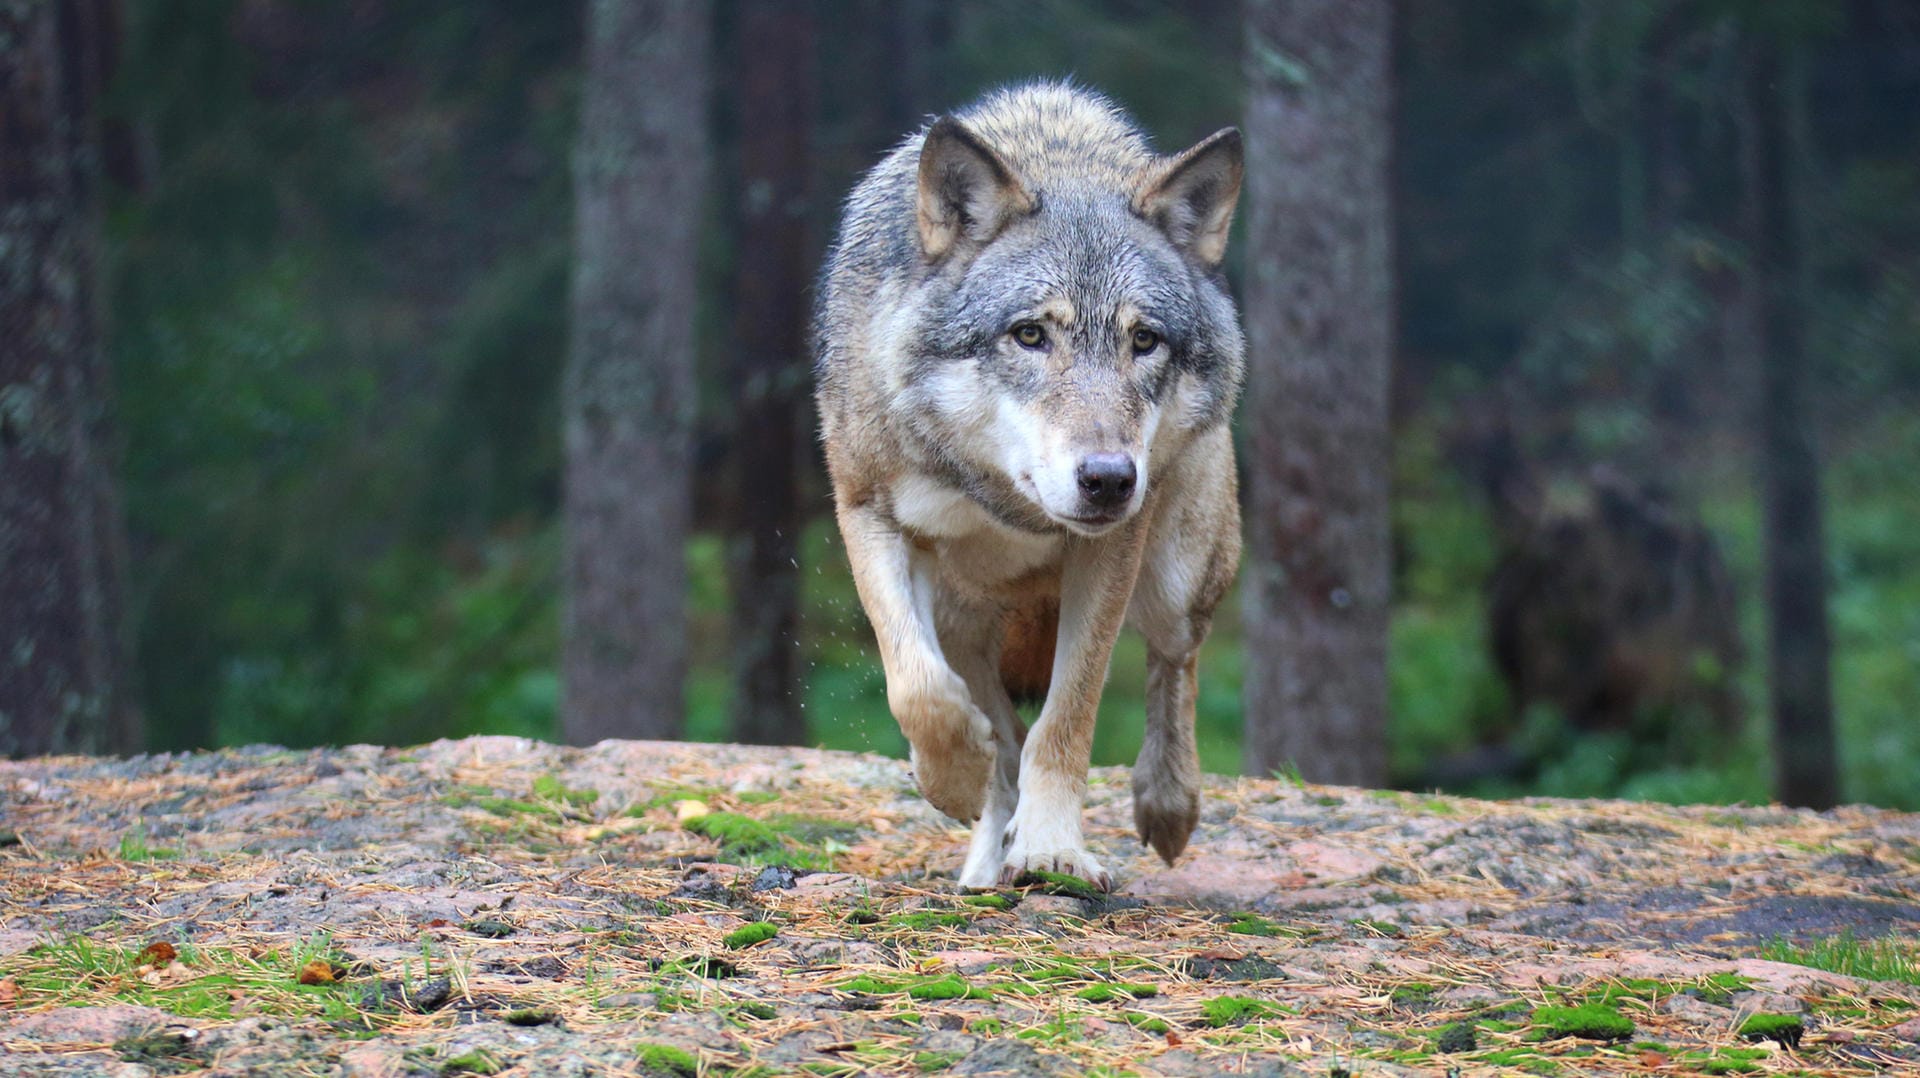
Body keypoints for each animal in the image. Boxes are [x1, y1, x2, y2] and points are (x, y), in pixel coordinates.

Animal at [810, 84, 1244, 887]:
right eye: (1031, 335)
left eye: (1144, 341)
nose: (1109, 480)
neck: (1004, 503)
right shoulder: (868, 516)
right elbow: (916, 689)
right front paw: (952, 781)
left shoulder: (1111, 553)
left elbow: (1067, 717)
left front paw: (1051, 849)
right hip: (962, 620)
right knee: (1001, 732)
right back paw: (985, 866)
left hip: (1172, 579)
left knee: (1175, 660)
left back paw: (1166, 803)